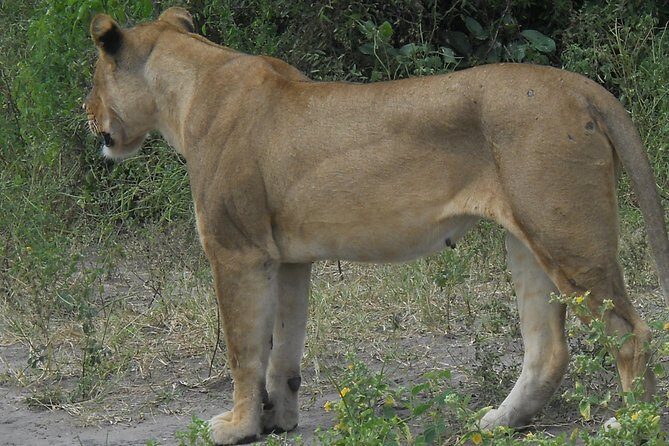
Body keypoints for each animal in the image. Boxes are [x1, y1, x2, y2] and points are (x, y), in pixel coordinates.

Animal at [85, 8, 669, 445]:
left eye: (93, 79)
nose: (86, 114)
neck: (186, 91)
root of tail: (581, 86)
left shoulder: (236, 250)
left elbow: (243, 351)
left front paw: (236, 427)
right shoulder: (288, 259)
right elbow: (282, 351)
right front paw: (279, 421)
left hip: (567, 237)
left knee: (632, 333)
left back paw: (631, 425)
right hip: (528, 241)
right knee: (548, 348)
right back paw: (497, 422)